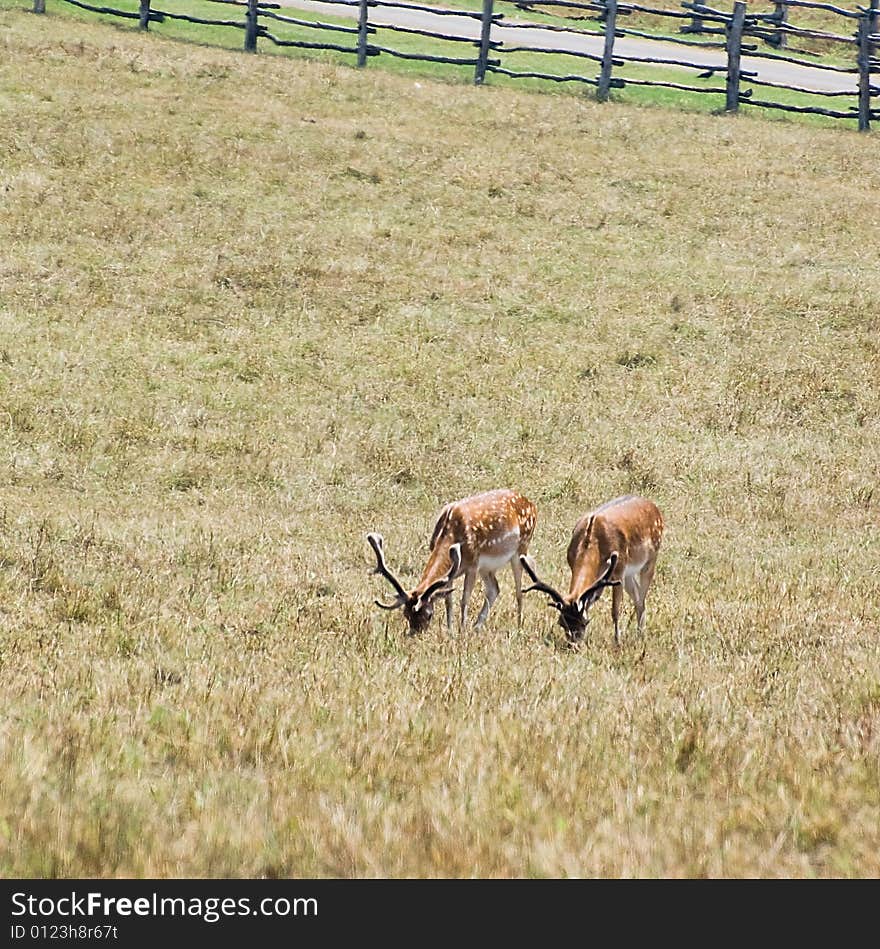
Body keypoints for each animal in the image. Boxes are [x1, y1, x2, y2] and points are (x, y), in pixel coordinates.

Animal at [364, 488, 536, 636]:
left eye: (429, 614)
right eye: (406, 614)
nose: (414, 634)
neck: (452, 532)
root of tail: (531, 504)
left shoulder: (473, 564)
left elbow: (464, 599)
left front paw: (461, 631)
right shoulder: (452, 571)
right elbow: (449, 601)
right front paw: (451, 631)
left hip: (521, 548)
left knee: (518, 591)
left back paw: (519, 627)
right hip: (487, 568)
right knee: (494, 588)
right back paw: (477, 626)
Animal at [520, 496, 664, 644]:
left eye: (584, 622)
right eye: (561, 622)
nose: (573, 645)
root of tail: (653, 507)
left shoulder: (619, 569)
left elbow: (615, 610)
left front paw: (617, 641)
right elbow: (589, 600)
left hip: (651, 559)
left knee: (642, 599)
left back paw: (641, 635)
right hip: (629, 574)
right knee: (637, 596)